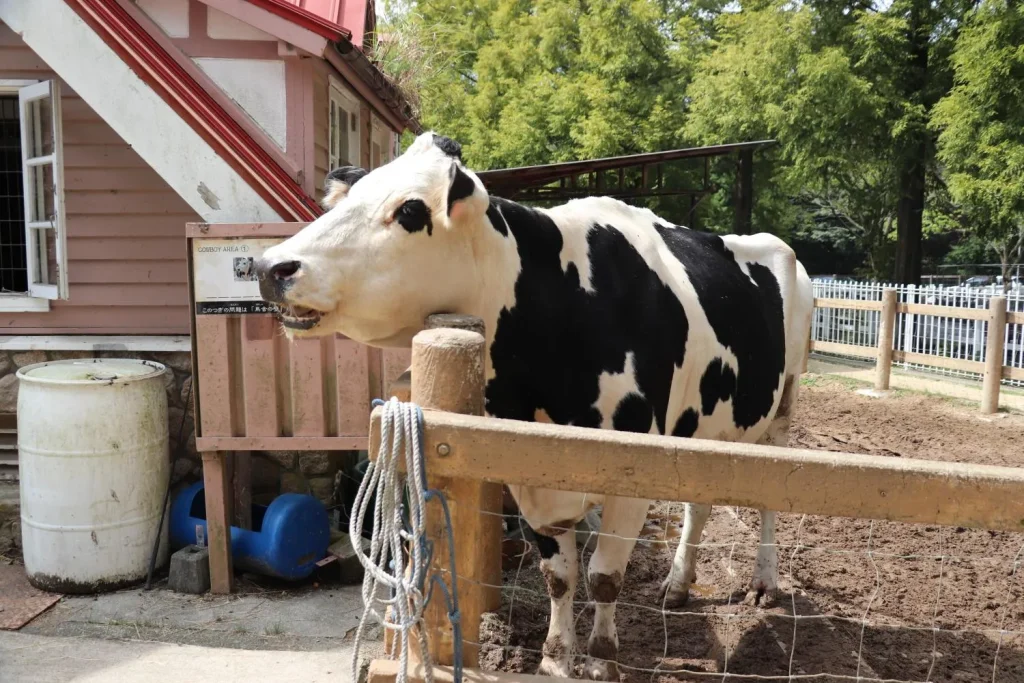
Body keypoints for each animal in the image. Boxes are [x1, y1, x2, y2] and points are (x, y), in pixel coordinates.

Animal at [258, 132, 815, 679]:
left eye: (411, 209)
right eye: (346, 197)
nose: (269, 266)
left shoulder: (633, 474)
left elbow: (605, 577)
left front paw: (602, 661)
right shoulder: (532, 477)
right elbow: (558, 576)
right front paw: (553, 657)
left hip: (784, 402)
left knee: (774, 493)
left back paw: (764, 581)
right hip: (707, 428)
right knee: (700, 500)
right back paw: (678, 584)